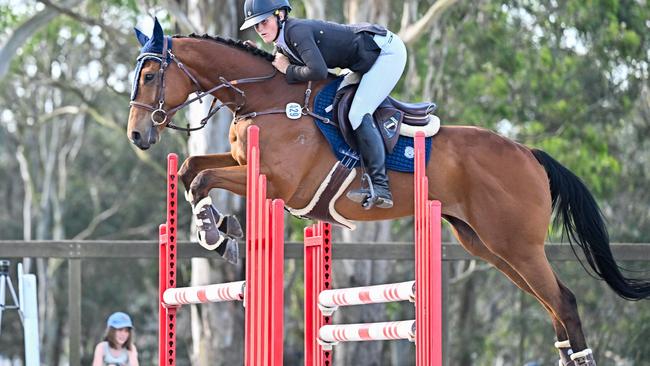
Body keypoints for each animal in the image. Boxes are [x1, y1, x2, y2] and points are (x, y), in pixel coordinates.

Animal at [125, 19, 644, 364]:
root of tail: (530, 154)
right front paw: (216, 229)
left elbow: (203, 177)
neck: (268, 99)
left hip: (516, 245)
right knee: (553, 306)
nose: (137, 136)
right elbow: (191, 169)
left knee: (565, 302)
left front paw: (216, 231)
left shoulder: (279, 185)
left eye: (149, 76)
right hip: (489, 246)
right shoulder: (241, 165)